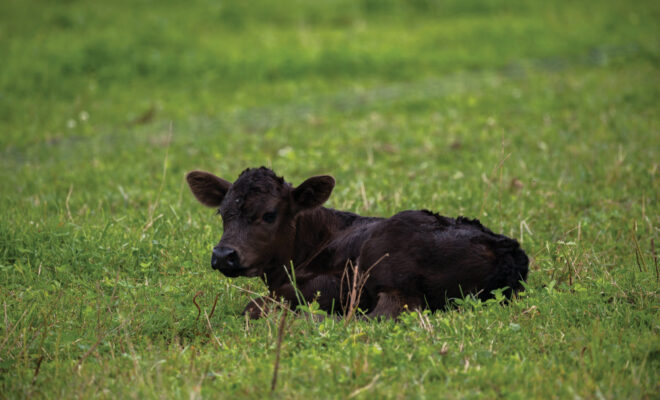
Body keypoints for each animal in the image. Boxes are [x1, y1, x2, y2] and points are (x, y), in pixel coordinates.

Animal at [186, 167, 529, 319]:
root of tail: (507, 250)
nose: (224, 254)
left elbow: (254, 306)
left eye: (269, 215)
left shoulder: (337, 283)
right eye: (221, 212)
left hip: (387, 269)